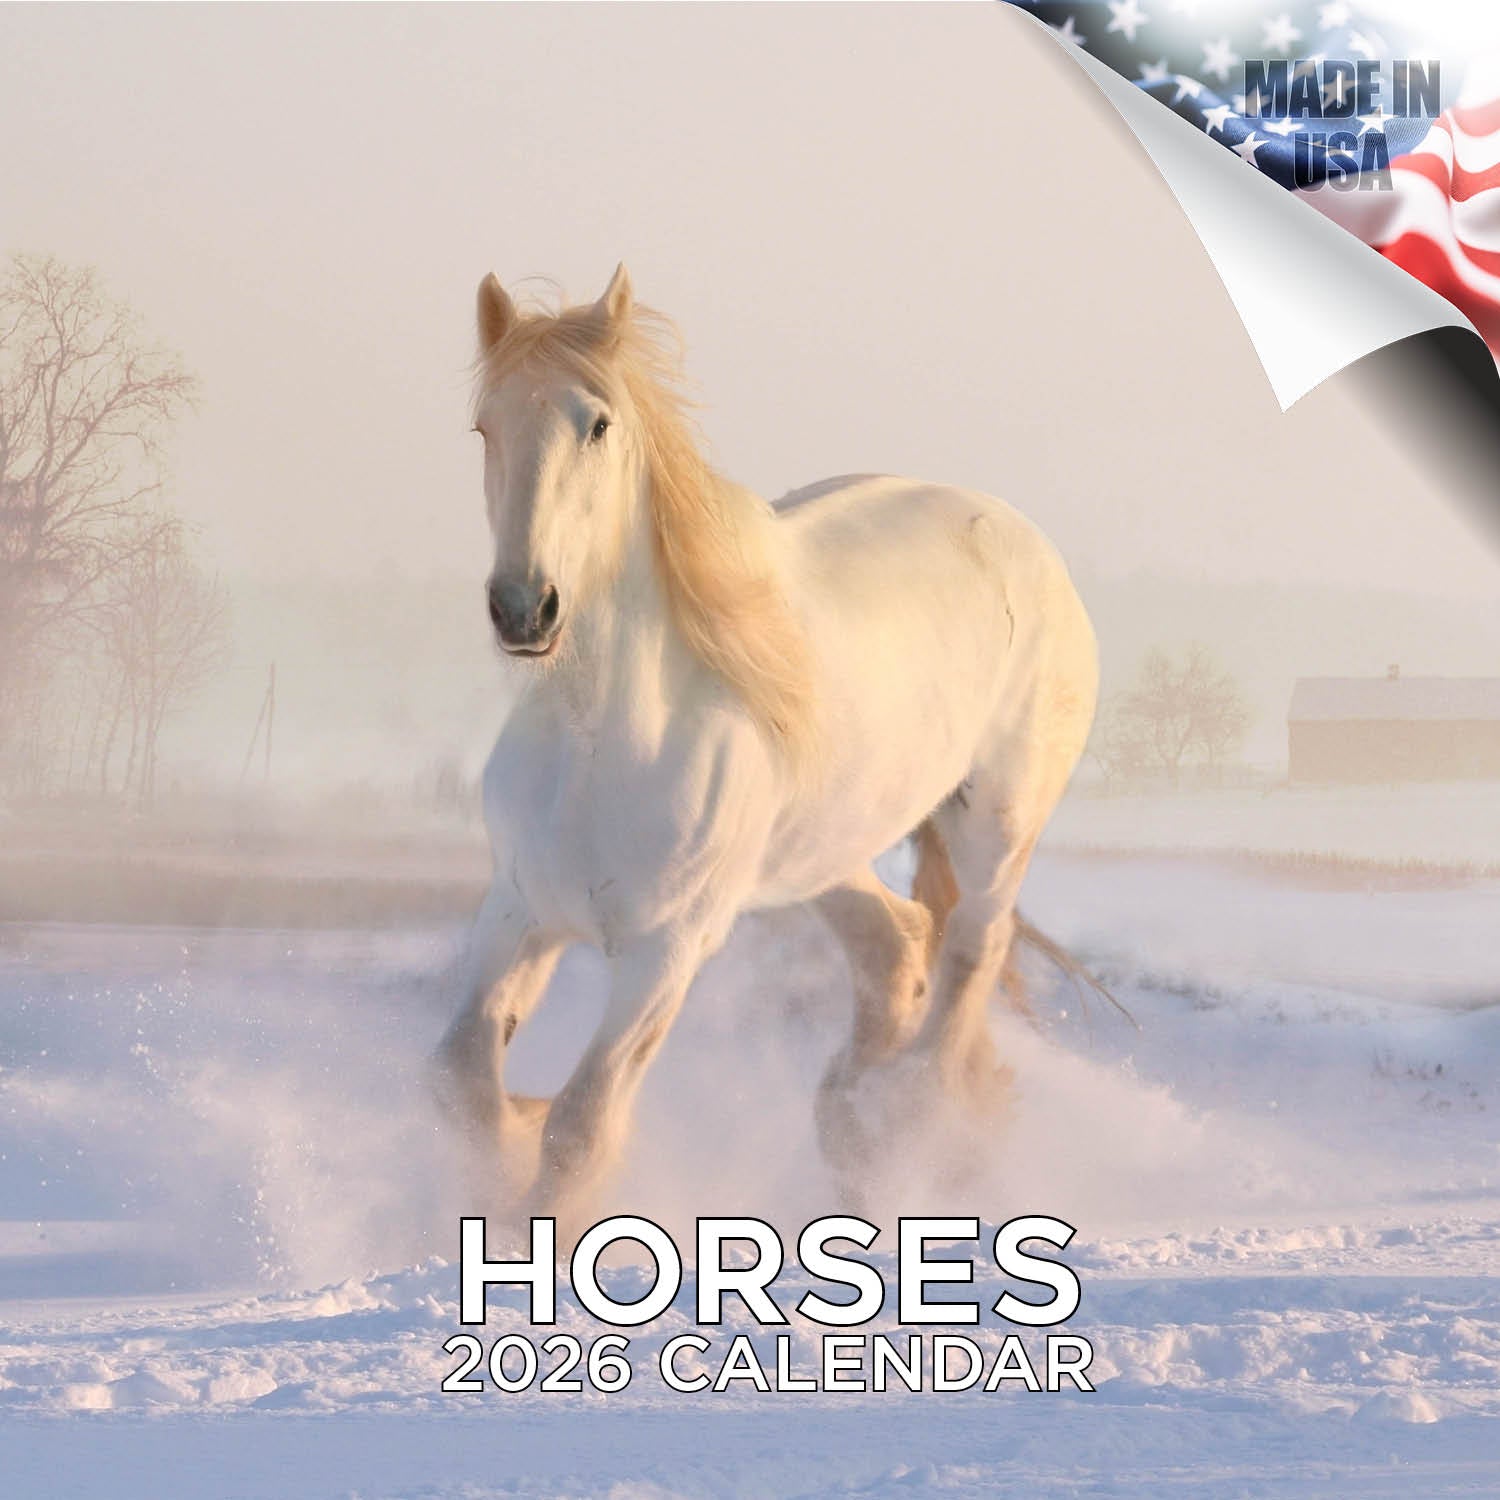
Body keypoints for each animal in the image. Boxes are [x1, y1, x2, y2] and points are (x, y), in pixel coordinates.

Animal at [436, 264, 1099, 1235]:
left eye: (597, 424)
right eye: (487, 428)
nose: (525, 609)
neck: (604, 741)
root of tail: (1021, 536)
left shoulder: (667, 950)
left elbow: (581, 1124)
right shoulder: (519, 910)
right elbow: (463, 1085)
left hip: (997, 825)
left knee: (971, 951)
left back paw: (904, 1121)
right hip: (826, 850)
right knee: (897, 946)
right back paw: (853, 1131)